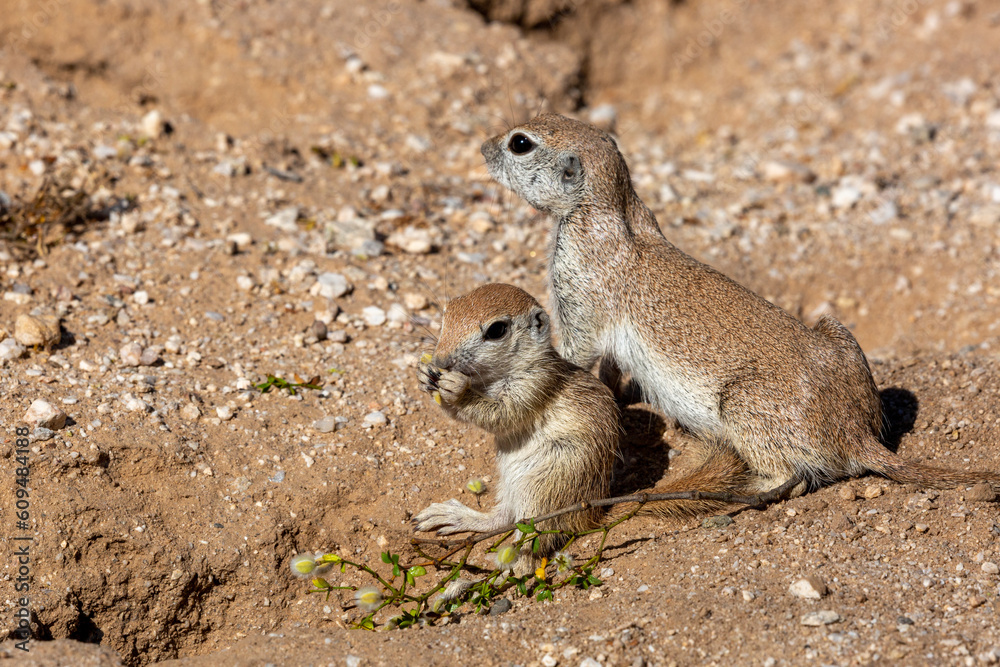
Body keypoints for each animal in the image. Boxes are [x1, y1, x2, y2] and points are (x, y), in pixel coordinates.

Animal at [413, 283, 752, 567]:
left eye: (497, 330)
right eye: (447, 313)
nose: (440, 360)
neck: (495, 377)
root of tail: (592, 512)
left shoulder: (535, 385)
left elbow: (501, 414)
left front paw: (456, 388)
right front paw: (423, 374)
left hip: (546, 485)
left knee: (535, 537)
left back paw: (510, 566)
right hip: (512, 484)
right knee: (502, 519)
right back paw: (454, 517)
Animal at [481, 114, 1000, 497]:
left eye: (520, 143)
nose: (483, 147)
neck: (610, 207)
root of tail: (856, 435)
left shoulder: (578, 296)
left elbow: (576, 354)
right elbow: (606, 369)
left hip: (742, 405)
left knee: (791, 476)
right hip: (837, 332)